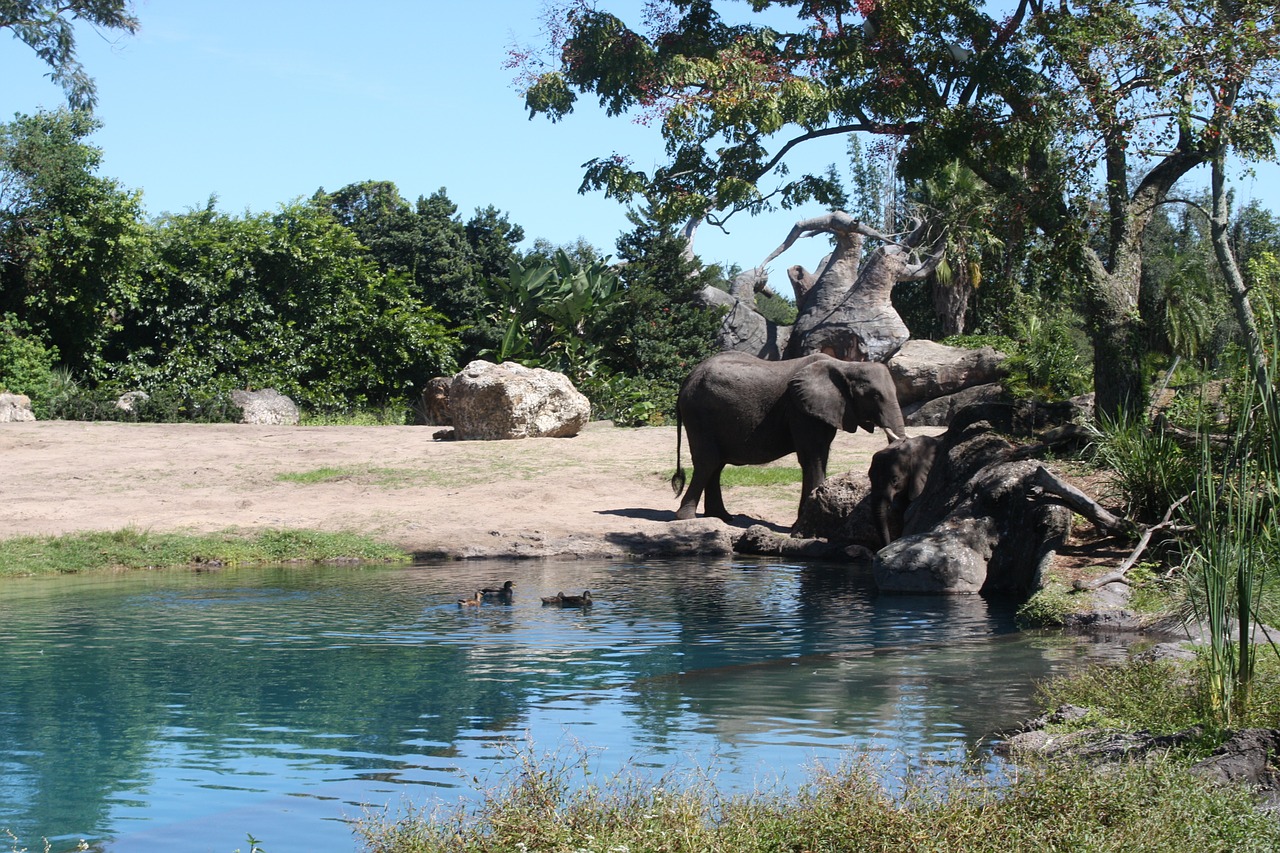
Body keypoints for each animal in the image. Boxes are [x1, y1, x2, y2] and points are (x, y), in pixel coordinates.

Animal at [670, 348, 911, 522]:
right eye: (875, 396)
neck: (845, 365)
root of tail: (687, 379)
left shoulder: (819, 410)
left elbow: (820, 456)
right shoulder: (800, 409)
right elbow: (812, 458)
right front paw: (804, 525)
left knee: (717, 464)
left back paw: (722, 517)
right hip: (699, 415)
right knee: (708, 462)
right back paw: (687, 519)